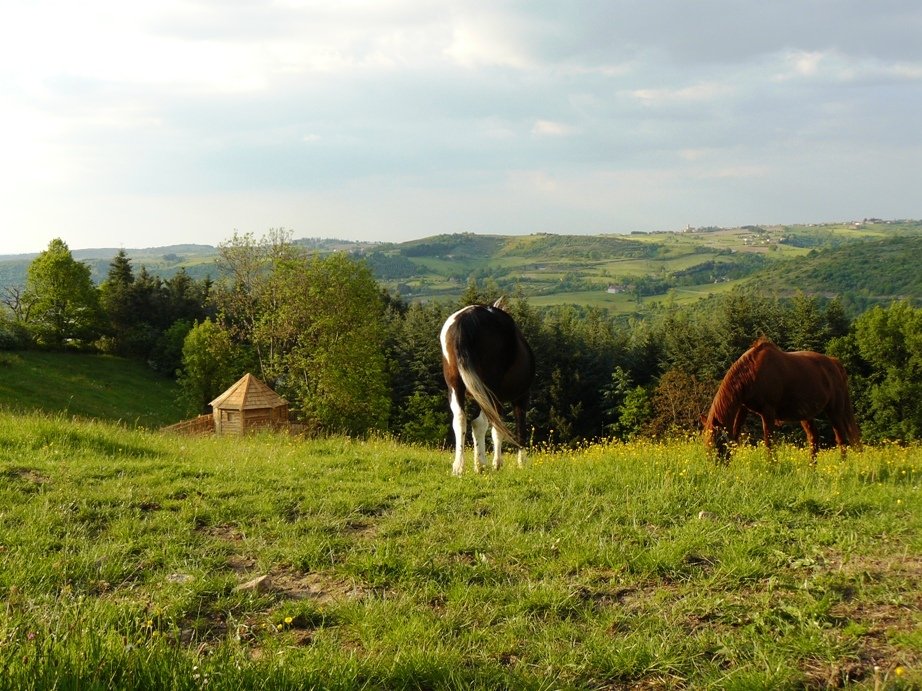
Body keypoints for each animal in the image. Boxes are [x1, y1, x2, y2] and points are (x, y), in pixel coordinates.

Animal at [438, 298, 532, 476]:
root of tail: (466, 319)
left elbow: (497, 429)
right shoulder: (520, 398)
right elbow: (515, 429)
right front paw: (518, 462)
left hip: (456, 386)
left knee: (460, 418)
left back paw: (459, 467)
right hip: (489, 390)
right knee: (479, 423)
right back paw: (481, 465)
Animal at [704, 336, 856, 462]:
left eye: (716, 442)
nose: (715, 465)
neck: (752, 372)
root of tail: (834, 363)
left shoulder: (768, 411)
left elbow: (769, 442)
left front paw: (772, 465)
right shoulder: (742, 408)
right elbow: (735, 435)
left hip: (834, 411)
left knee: (841, 439)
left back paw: (842, 466)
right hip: (806, 415)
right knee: (814, 438)